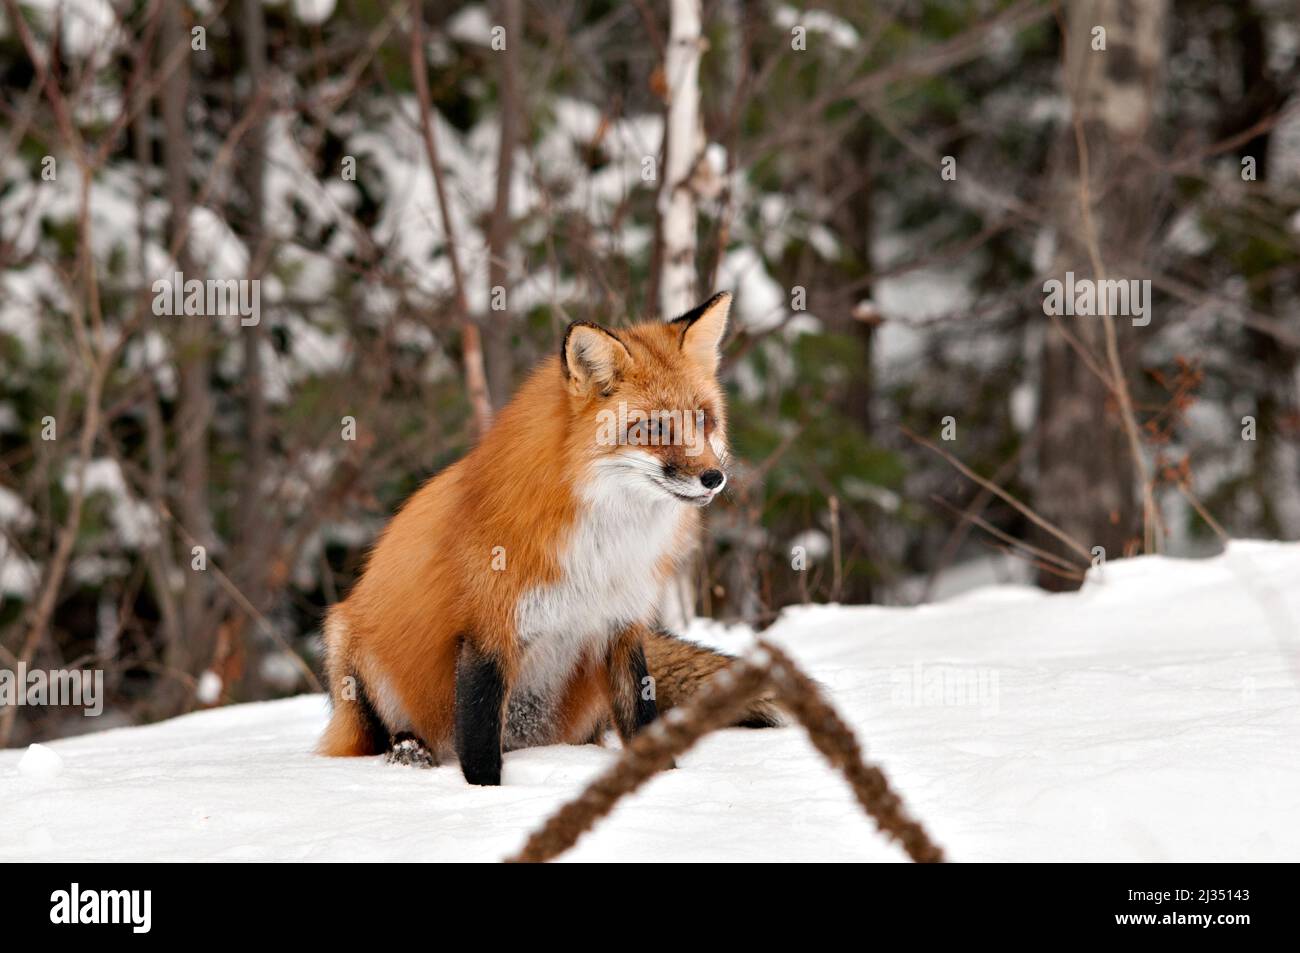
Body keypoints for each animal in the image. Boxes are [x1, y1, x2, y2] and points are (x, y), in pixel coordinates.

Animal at [318, 291, 781, 785]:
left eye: (704, 420)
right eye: (655, 428)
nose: (714, 478)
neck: (603, 546)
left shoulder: (621, 626)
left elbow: (642, 721)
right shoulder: (489, 631)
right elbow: (479, 746)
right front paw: (484, 796)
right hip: (346, 644)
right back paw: (407, 751)